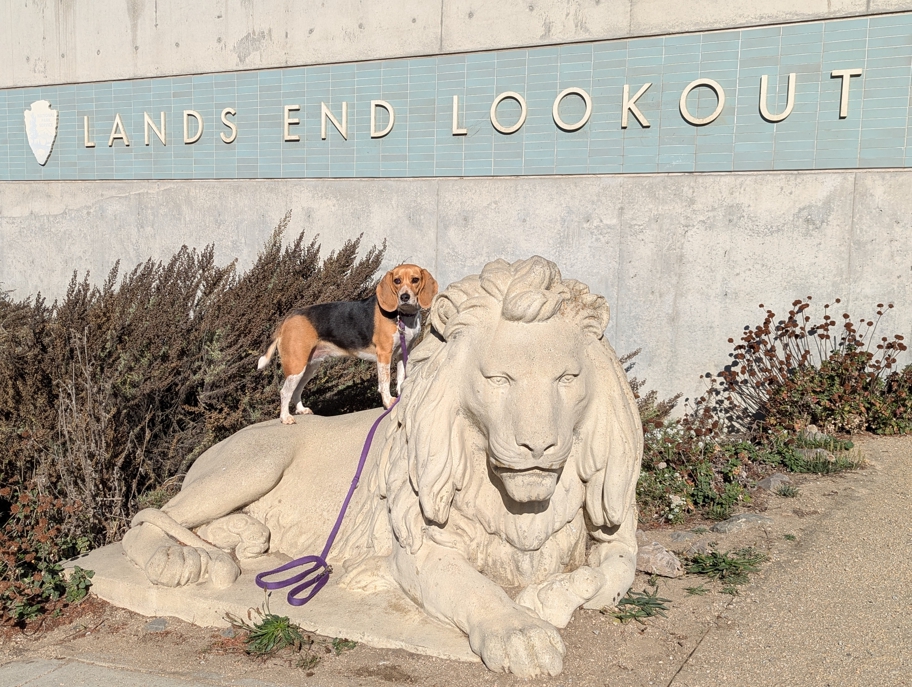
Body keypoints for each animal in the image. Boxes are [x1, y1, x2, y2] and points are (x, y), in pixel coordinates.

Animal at [258, 264, 440, 422]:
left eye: (415, 280)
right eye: (397, 281)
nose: (404, 297)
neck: (402, 316)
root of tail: (288, 318)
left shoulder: (404, 352)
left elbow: (401, 378)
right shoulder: (384, 354)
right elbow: (385, 382)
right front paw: (389, 403)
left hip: (309, 367)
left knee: (296, 390)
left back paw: (301, 410)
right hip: (296, 365)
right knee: (285, 391)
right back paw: (285, 418)